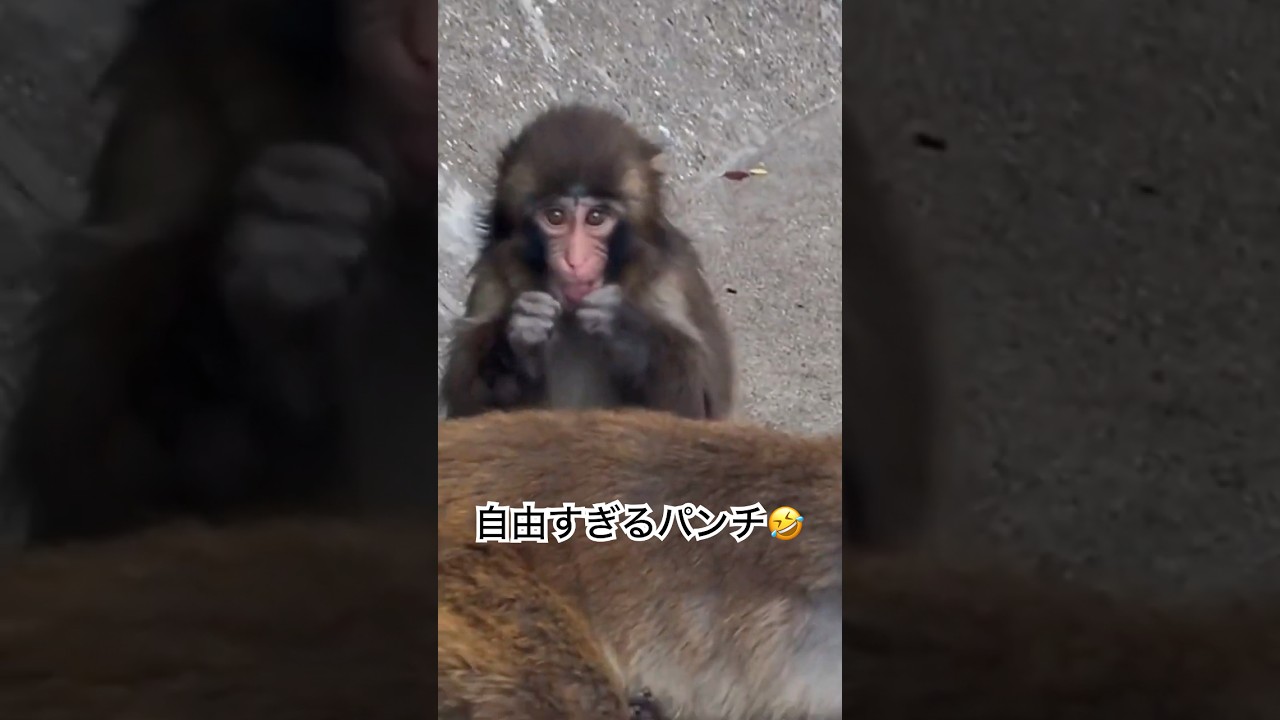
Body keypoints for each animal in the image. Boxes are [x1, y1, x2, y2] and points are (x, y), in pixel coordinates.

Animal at [438, 105, 737, 422]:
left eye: (596, 218)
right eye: (555, 217)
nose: (575, 259)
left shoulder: (672, 278)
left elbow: (700, 410)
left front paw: (627, 330)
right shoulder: (494, 277)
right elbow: (466, 412)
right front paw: (519, 342)